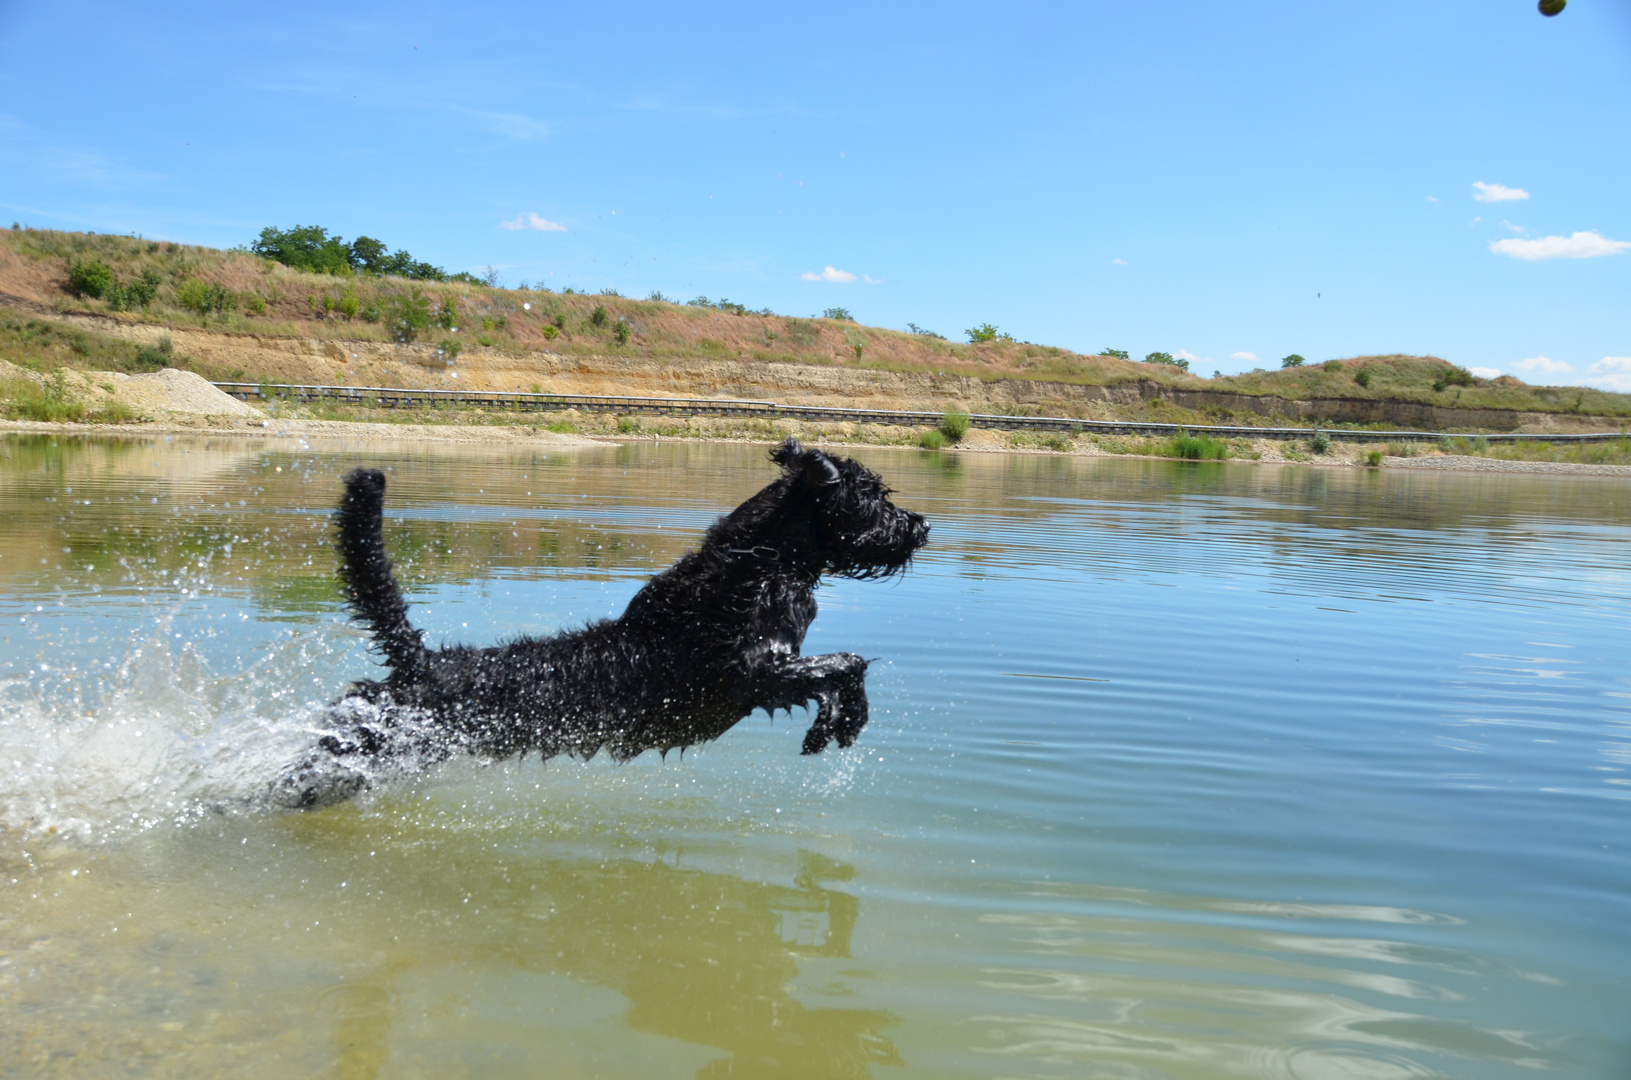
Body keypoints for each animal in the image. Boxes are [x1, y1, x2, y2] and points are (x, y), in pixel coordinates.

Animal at [270, 443, 932, 812]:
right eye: (873, 495)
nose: (921, 525)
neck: (759, 564)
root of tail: (419, 663)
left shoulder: (771, 673)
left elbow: (840, 669)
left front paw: (838, 722)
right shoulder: (754, 675)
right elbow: (844, 664)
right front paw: (840, 723)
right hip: (368, 746)